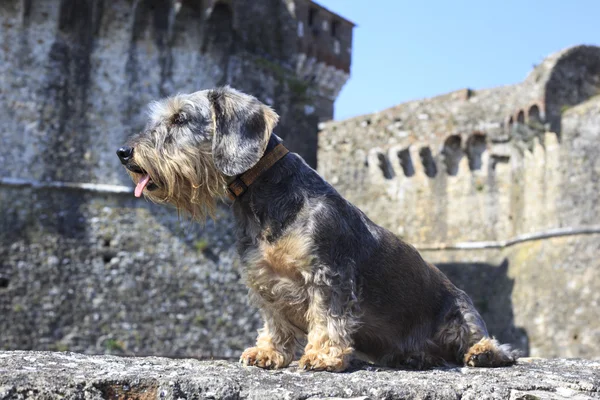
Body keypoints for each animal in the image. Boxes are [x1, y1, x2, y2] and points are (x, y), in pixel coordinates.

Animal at [117, 86, 520, 372]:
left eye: (180, 118)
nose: (124, 152)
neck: (264, 193)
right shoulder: (264, 281)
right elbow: (275, 321)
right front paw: (267, 352)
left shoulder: (328, 272)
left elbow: (327, 316)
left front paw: (323, 356)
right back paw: (414, 356)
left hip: (459, 313)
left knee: (488, 344)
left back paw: (482, 352)